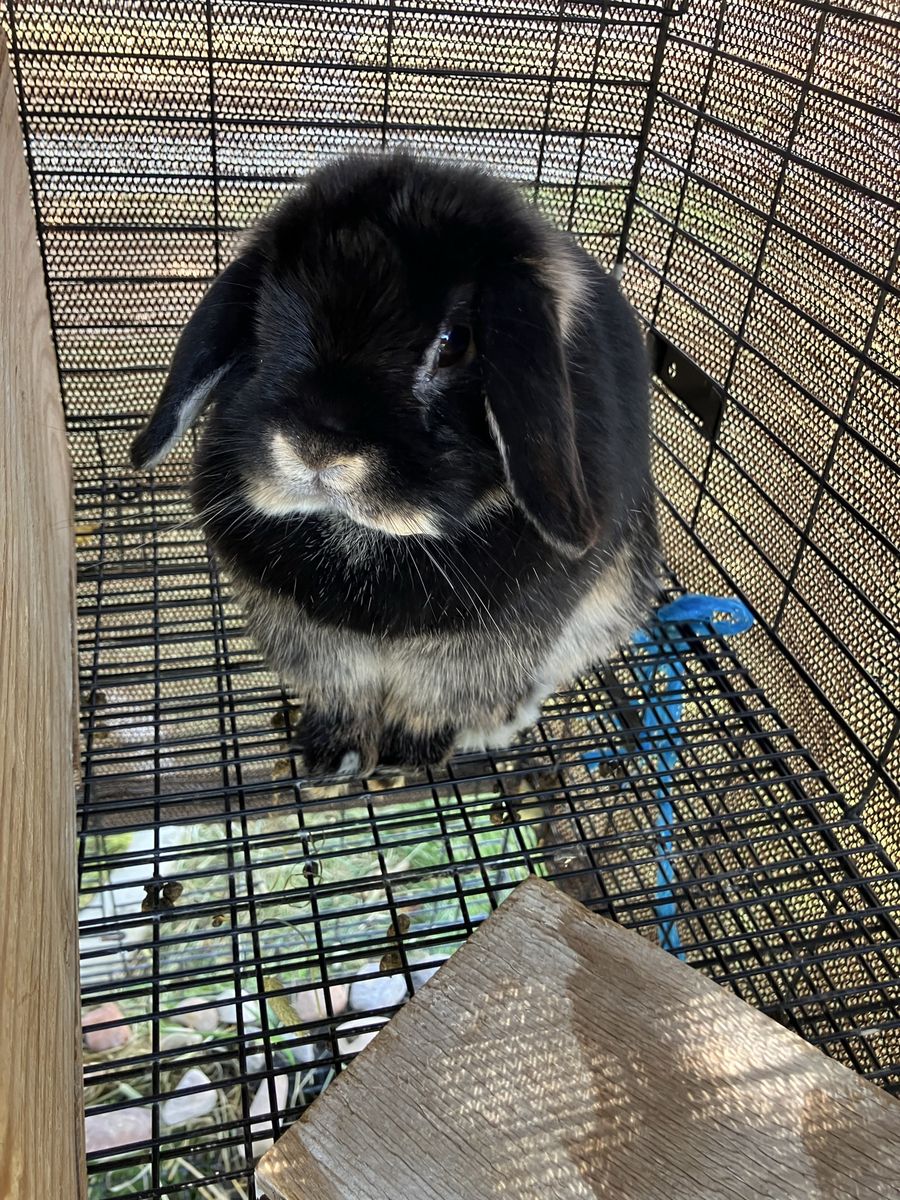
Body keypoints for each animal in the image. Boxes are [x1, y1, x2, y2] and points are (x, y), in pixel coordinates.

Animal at [131, 152, 660, 777]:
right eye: (262, 315)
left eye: (455, 342)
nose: (317, 447)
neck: (361, 537)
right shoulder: (316, 646)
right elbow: (342, 696)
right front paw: (333, 759)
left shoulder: (482, 650)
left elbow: (435, 699)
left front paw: (410, 756)